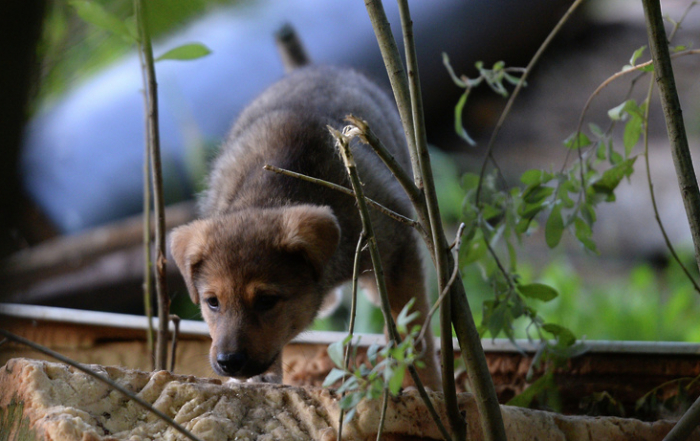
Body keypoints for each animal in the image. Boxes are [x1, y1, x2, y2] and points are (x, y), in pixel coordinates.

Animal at [170, 65, 440, 388]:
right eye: (212, 302)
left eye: (266, 301)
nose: (228, 362)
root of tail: (319, 68)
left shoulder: (398, 252)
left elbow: (411, 329)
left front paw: (422, 385)